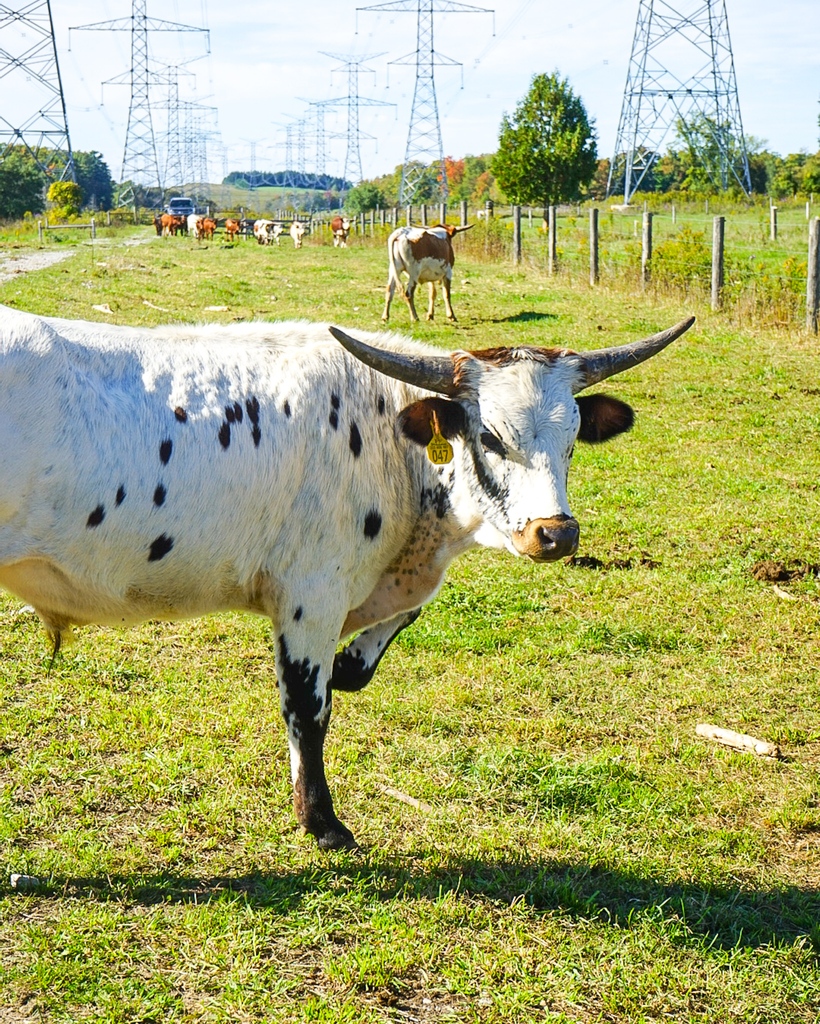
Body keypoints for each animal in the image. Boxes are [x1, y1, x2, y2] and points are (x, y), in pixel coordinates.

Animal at [0, 305, 694, 850]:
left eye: (573, 437)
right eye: (490, 437)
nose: (555, 534)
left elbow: (365, 658)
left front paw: (349, 673)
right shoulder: (311, 595)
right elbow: (310, 708)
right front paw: (323, 822)